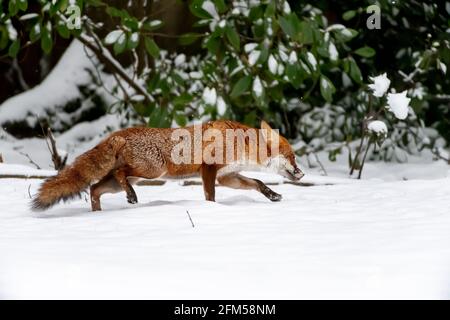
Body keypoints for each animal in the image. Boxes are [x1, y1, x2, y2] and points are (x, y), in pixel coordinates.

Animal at [31, 119, 304, 211]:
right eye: (292, 157)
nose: (301, 174)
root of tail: (118, 134)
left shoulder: (227, 176)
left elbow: (257, 182)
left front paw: (273, 195)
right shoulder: (209, 170)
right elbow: (210, 197)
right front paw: (212, 211)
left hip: (130, 179)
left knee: (94, 189)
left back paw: (97, 215)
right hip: (152, 171)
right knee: (118, 174)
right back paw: (131, 197)